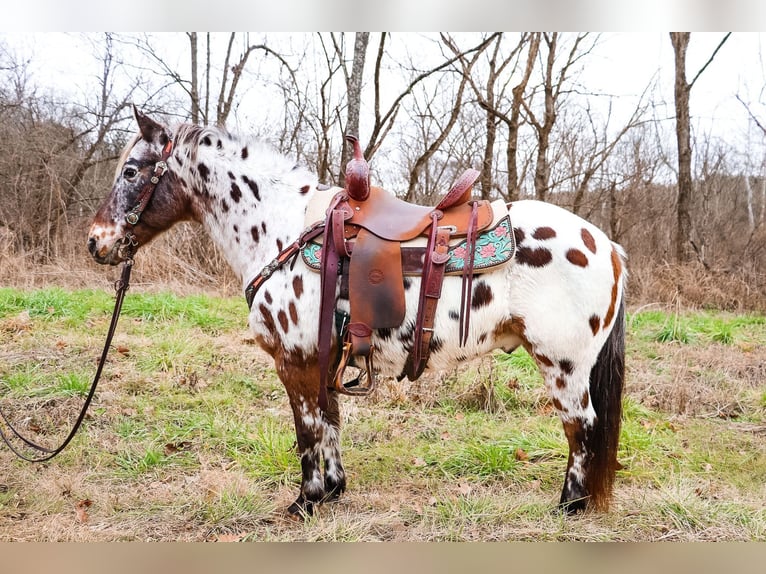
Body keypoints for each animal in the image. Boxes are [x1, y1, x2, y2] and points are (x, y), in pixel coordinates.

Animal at [91, 108, 632, 516]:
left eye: (131, 171)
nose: (97, 242)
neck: (282, 229)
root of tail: (606, 245)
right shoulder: (323, 361)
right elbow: (329, 424)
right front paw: (332, 490)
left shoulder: (296, 361)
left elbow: (308, 428)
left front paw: (306, 502)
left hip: (563, 365)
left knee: (580, 426)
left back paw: (569, 506)